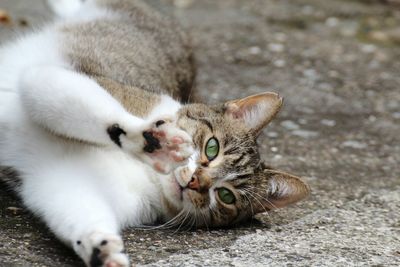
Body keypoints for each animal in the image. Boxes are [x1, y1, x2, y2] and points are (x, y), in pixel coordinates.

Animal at [0, 1, 310, 266]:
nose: (195, 182)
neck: (149, 176)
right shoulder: (58, 78)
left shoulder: (65, 179)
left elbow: (79, 208)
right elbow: (99, 113)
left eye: (226, 196)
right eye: (211, 148)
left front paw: (101, 248)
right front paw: (155, 142)